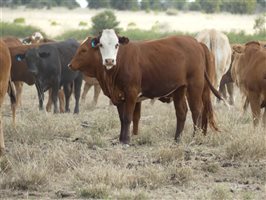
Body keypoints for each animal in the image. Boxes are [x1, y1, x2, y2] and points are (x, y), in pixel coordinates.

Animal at [68, 28, 222, 143]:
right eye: (101, 45)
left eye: (116, 45)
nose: (109, 60)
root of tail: (197, 43)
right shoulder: (118, 96)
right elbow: (122, 118)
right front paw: (121, 138)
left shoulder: (131, 93)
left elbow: (128, 117)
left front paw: (126, 141)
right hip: (179, 89)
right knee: (182, 112)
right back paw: (177, 138)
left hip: (194, 86)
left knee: (197, 110)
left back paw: (195, 137)